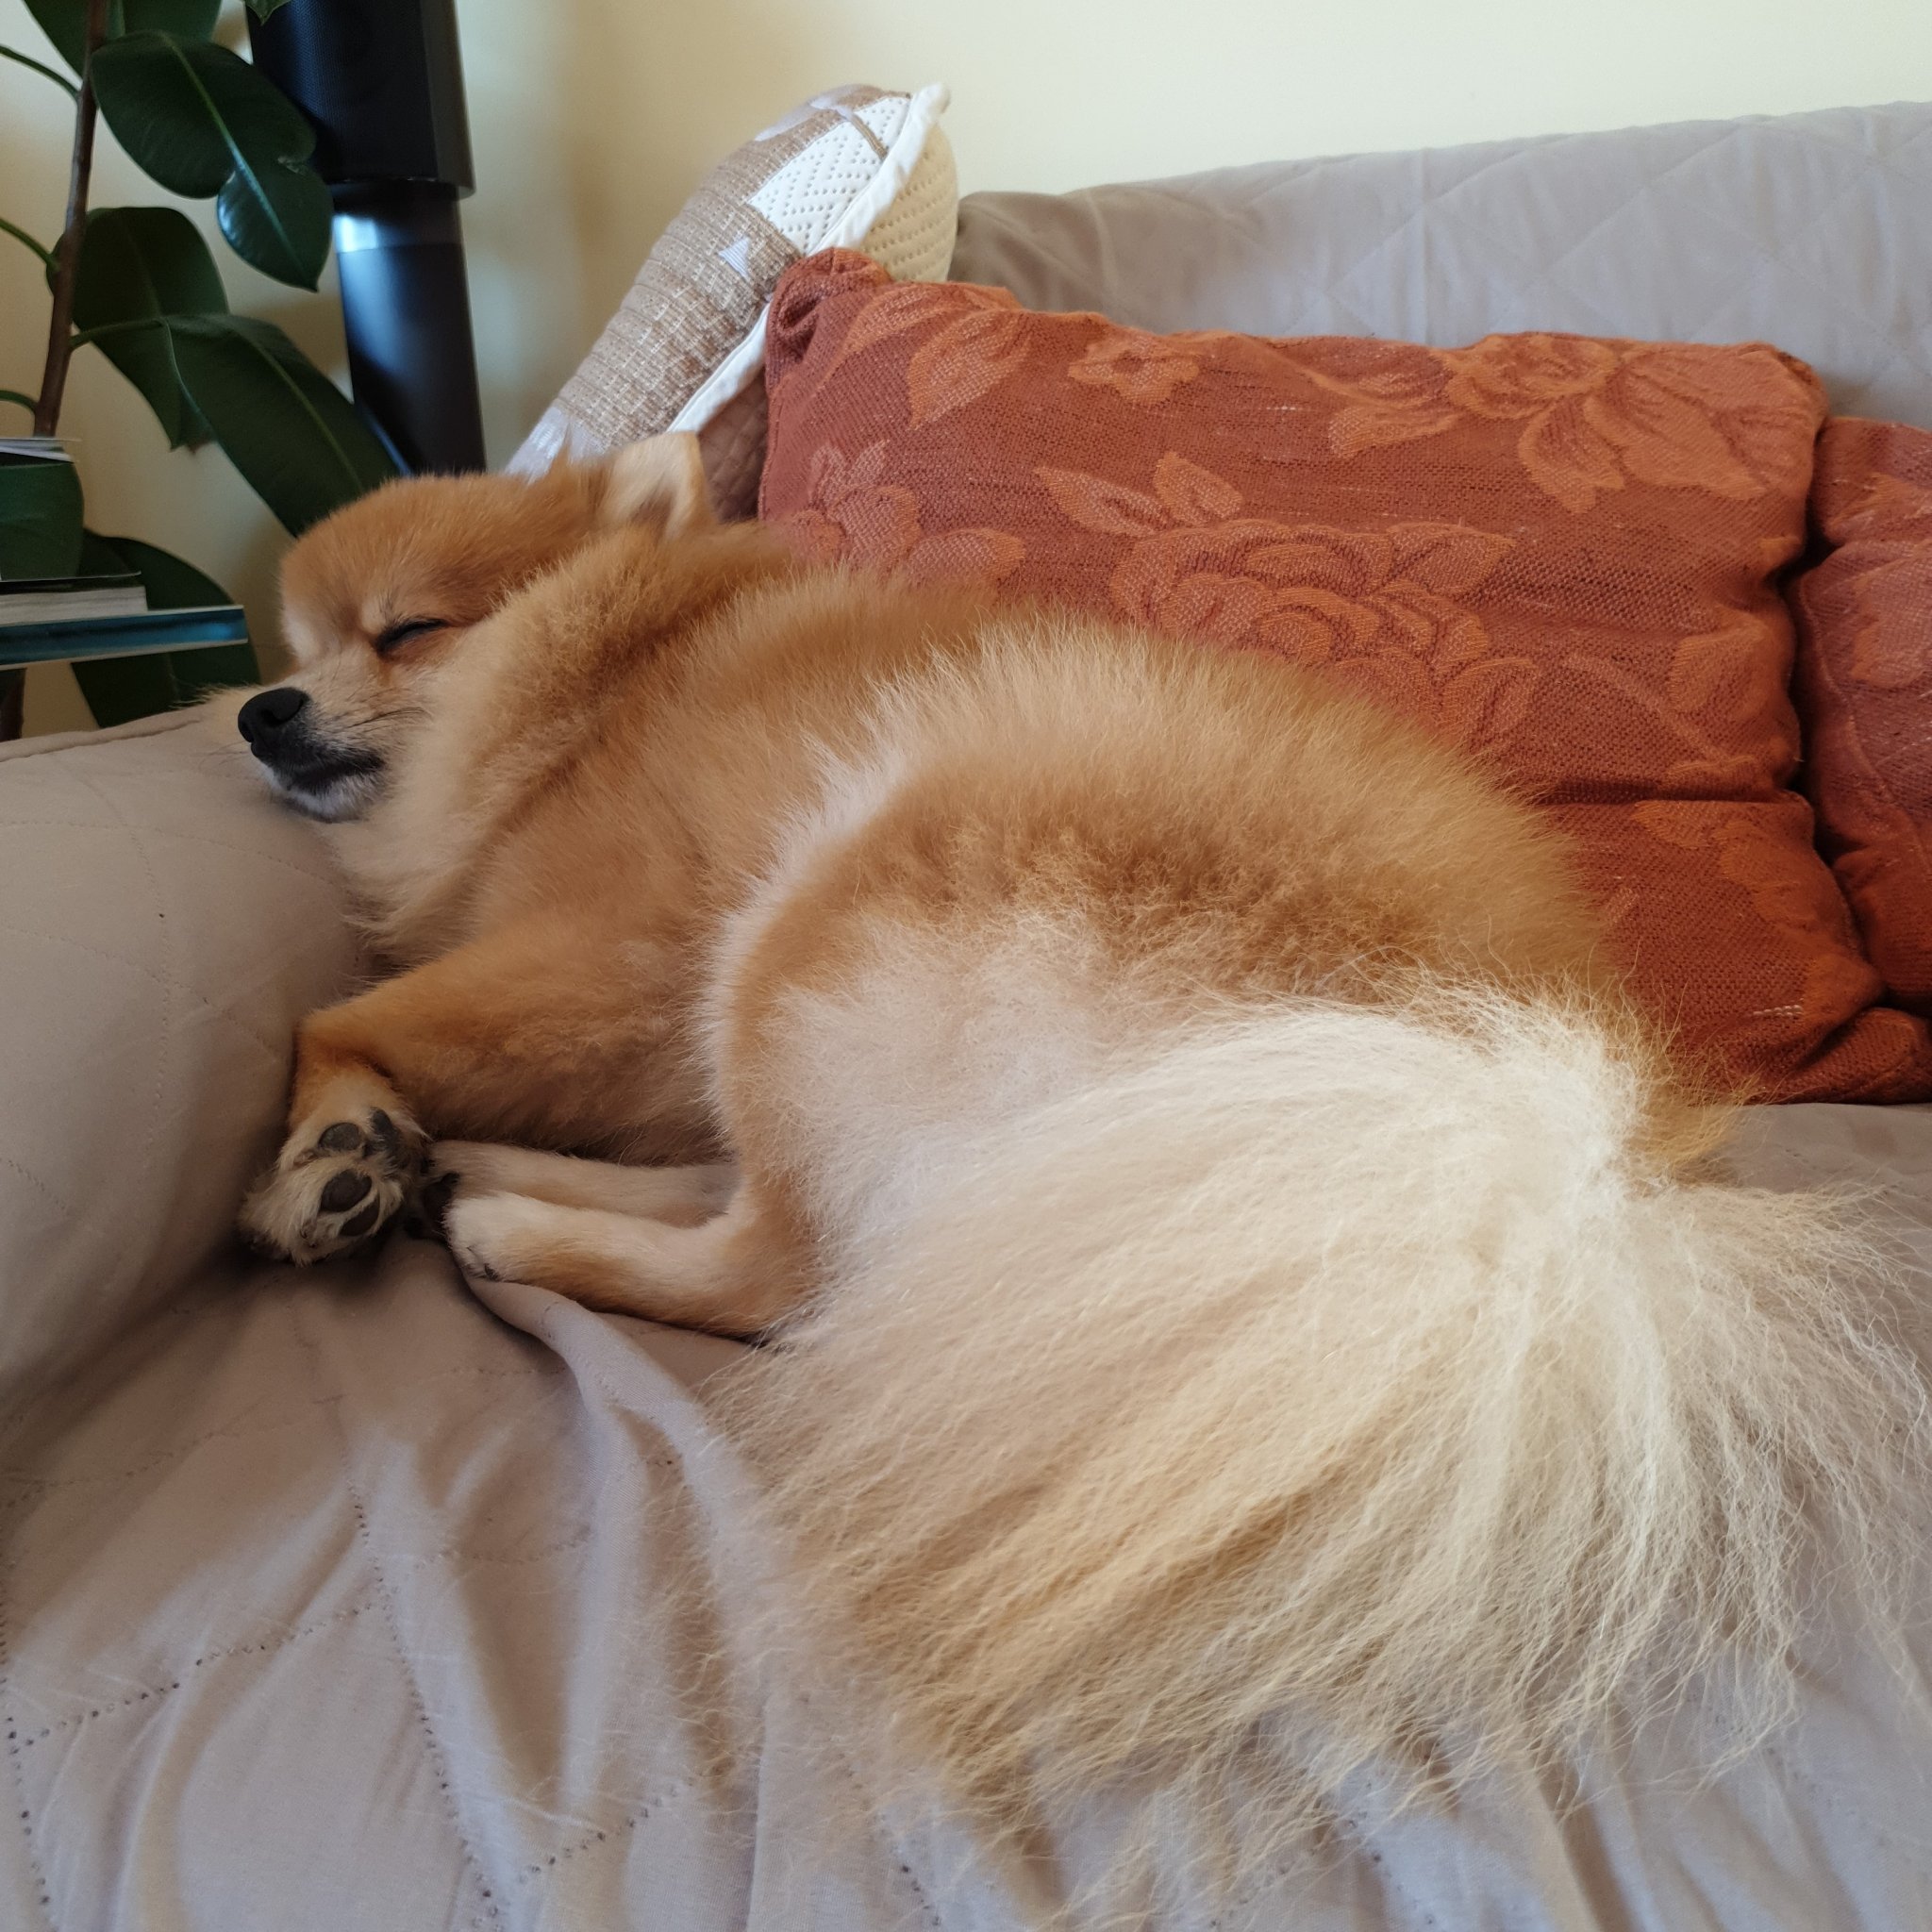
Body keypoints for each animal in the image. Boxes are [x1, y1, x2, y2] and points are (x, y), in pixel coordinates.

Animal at [234, 432, 1927, 1856]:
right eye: (288, 651)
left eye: (404, 633)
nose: (255, 711)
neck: (602, 683)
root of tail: (1506, 1126)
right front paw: (379, 1148)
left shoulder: (617, 950)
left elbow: (332, 1018)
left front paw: (324, 1152)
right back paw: (491, 1176)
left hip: (822, 912)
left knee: (783, 1269)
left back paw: (505, 1222)